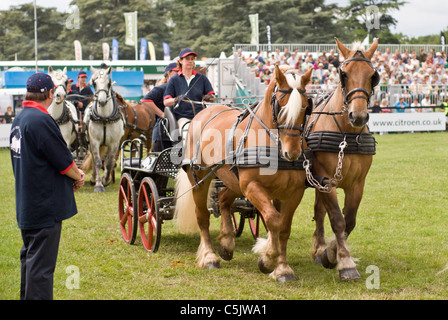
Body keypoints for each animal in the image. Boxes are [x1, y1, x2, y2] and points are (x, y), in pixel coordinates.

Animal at [174, 65, 312, 282]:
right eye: (280, 106)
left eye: (306, 107)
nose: (293, 153)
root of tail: (204, 111)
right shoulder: (252, 186)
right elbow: (273, 219)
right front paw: (268, 259)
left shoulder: (293, 192)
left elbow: (284, 227)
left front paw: (282, 269)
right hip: (200, 178)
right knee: (202, 215)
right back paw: (209, 257)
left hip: (233, 180)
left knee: (223, 200)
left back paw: (226, 243)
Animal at [304, 37, 378, 280]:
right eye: (343, 74)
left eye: (373, 75)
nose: (359, 116)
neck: (347, 135)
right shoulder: (328, 180)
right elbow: (337, 219)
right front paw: (345, 263)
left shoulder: (357, 184)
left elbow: (349, 221)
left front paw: (330, 253)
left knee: (318, 211)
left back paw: (319, 249)